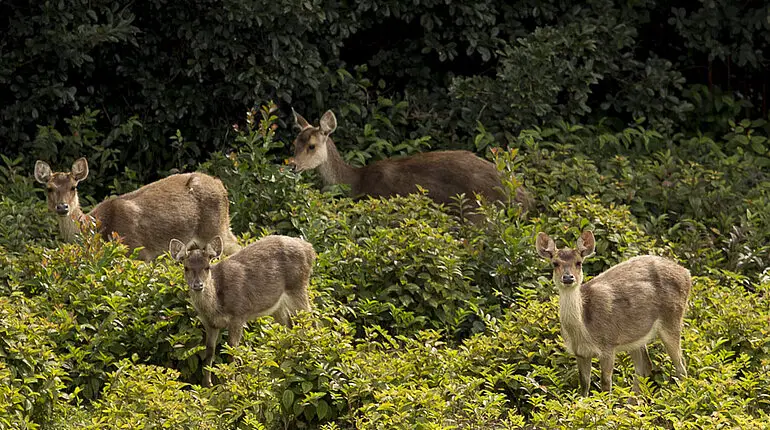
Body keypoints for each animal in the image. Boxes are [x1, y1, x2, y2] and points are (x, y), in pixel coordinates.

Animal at [33, 156, 238, 260]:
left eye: (73, 187)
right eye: (49, 188)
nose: (62, 207)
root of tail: (221, 185)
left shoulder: (138, 251)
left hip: (213, 229)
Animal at [169, 233, 316, 388]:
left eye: (207, 267)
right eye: (186, 268)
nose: (198, 285)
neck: (217, 306)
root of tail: (310, 249)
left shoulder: (238, 315)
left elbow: (232, 349)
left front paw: (230, 382)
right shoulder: (209, 323)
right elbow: (209, 351)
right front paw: (207, 384)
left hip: (297, 286)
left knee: (312, 321)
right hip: (278, 305)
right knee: (289, 326)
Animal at [292, 109, 532, 220]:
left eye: (312, 146)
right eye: (294, 143)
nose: (293, 165)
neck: (356, 182)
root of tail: (522, 196)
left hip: (480, 214)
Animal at [536, 230, 688, 394]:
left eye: (579, 262)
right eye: (555, 263)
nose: (568, 277)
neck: (584, 329)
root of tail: (687, 273)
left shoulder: (608, 345)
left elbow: (605, 384)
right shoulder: (580, 352)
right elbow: (584, 384)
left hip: (673, 317)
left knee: (681, 366)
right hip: (635, 337)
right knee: (644, 366)